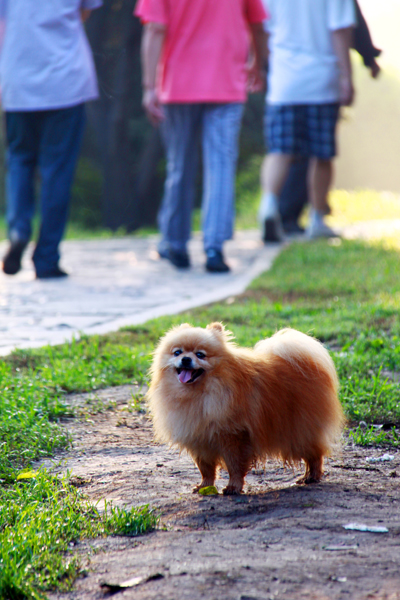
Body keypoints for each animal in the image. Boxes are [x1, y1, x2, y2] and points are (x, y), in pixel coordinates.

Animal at [148, 324, 344, 496]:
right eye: (177, 352)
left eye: (200, 355)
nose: (186, 359)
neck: (197, 394)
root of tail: (308, 361)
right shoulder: (200, 440)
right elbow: (206, 469)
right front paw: (205, 486)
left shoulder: (233, 436)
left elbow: (234, 466)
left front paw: (233, 487)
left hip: (299, 429)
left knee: (315, 454)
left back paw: (312, 476)